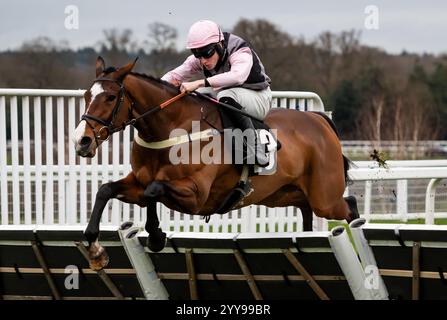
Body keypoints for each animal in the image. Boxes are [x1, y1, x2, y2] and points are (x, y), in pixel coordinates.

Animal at [73, 57, 360, 270]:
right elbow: (106, 190)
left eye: (110, 97)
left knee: (349, 206)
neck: (170, 129)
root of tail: (319, 119)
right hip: (285, 194)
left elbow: (154, 189)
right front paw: (95, 250)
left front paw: (155, 236)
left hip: (325, 198)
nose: (82, 141)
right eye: (87, 95)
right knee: (310, 210)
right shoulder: (137, 182)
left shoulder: (196, 195)